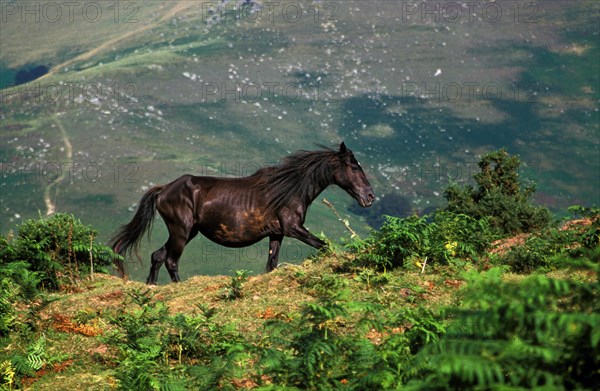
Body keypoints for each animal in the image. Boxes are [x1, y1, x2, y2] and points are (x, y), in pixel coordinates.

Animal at [109, 142, 372, 284]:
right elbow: (324, 246)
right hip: (181, 232)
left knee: (157, 256)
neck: (288, 189)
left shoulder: (277, 234)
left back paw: (152, 287)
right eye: (353, 167)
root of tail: (164, 189)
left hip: (187, 232)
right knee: (171, 260)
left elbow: (272, 264)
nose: (369, 197)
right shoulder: (293, 228)